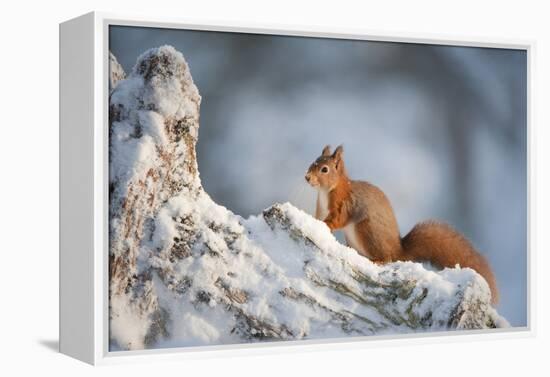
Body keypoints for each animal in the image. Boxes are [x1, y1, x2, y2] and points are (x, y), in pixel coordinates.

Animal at [306, 144, 500, 302]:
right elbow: (318, 217)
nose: (307, 177)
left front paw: (326, 226)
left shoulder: (344, 205)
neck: (325, 191)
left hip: (367, 231)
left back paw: (378, 260)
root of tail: (398, 250)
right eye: (313, 162)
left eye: (324, 169)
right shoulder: (321, 208)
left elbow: (337, 220)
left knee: (387, 258)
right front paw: (315, 222)